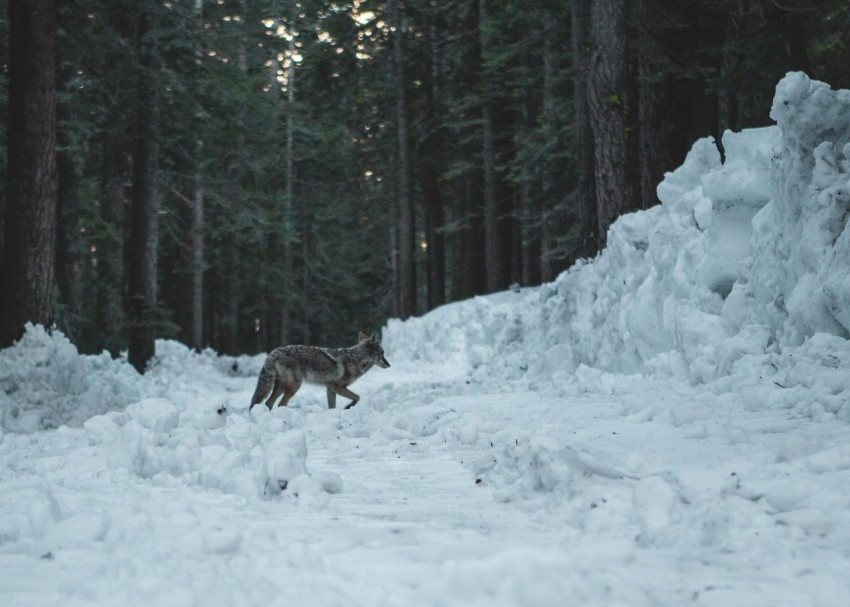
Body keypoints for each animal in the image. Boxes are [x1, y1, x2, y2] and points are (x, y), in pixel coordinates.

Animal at [249, 331, 390, 412]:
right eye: (382, 353)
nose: (389, 365)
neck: (356, 359)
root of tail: (272, 353)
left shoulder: (330, 388)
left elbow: (332, 406)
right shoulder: (337, 387)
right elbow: (357, 397)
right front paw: (348, 407)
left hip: (280, 387)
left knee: (268, 403)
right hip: (294, 387)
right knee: (280, 404)